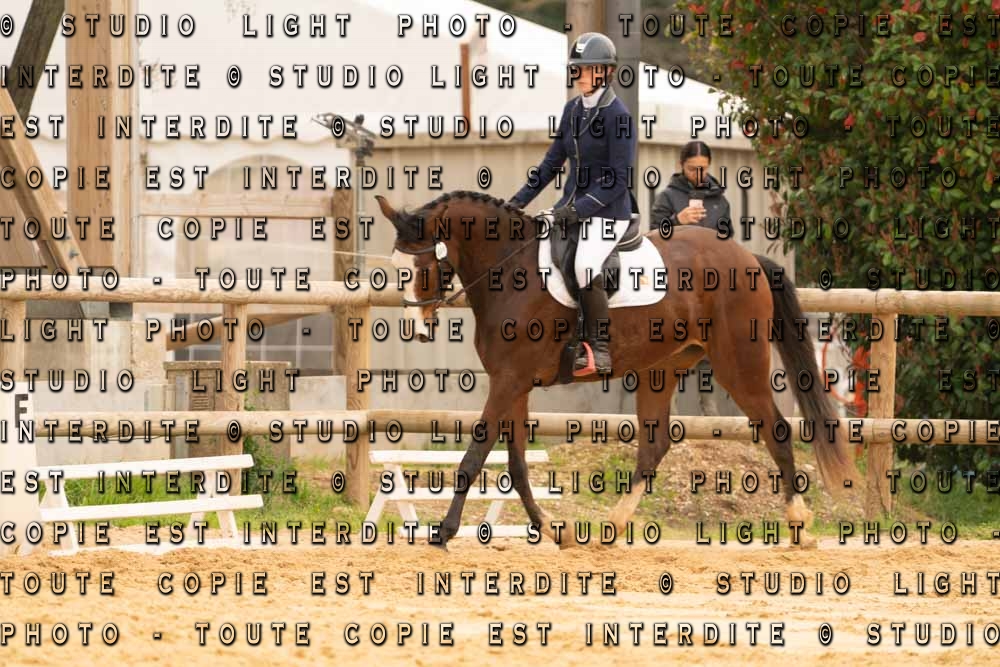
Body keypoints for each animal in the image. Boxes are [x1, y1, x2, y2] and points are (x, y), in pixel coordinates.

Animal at [374, 190, 858, 550]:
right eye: (397, 267)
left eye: (422, 266)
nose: (417, 329)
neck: (509, 270)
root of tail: (747, 257)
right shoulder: (513, 384)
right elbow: (517, 465)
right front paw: (556, 531)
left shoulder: (509, 381)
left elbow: (474, 455)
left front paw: (443, 532)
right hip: (661, 369)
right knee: (655, 445)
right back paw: (612, 526)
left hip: (738, 363)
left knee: (776, 429)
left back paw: (798, 523)